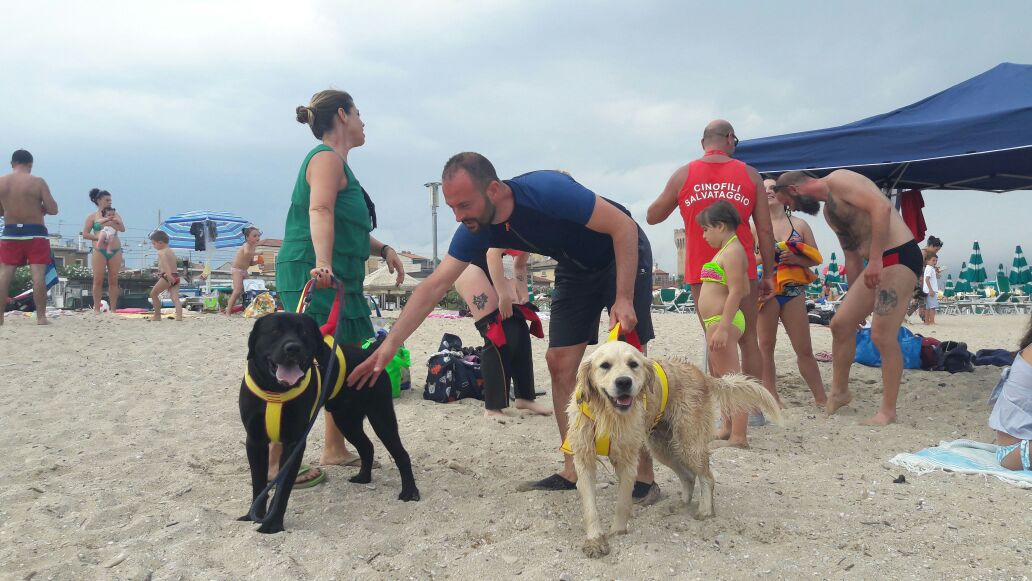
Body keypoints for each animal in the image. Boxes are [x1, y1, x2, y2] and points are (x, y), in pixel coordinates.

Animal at [237, 313, 418, 532]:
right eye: (275, 331)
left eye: (304, 332)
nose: (293, 348)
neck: (276, 391)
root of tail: (371, 354)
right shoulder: (255, 441)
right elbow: (258, 483)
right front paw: (253, 515)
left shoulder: (294, 444)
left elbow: (282, 488)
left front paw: (272, 523)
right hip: (346, 420)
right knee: (367, 447)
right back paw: (363, 477)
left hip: (381, 417)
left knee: (401, 454)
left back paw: (410, 491)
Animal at [569, 340, 776, 557]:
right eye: (605, 365)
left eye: (633, 364)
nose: (624, 382)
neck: (608, 415)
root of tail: (700, 373)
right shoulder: (583, 459)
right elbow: (590, 507)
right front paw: (595, 540)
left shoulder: (628, 462)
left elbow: (622, 503)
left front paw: (617, 532)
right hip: (662, 448)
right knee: (688, 476)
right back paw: (681, 504)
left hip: (689, 444)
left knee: (707, 477)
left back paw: (705, 510)